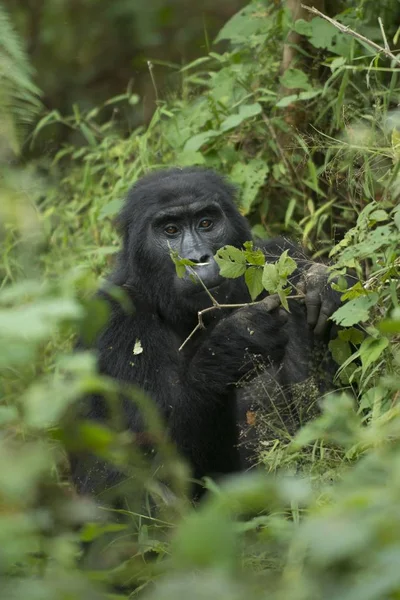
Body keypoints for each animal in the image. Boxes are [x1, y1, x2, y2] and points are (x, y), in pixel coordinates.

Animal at [71, 166, 340, 500]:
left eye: (206, 223)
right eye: (170, 230)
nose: (198, 258)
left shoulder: (279, 258)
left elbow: (324, 437)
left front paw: (322, 283)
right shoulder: (113, 319)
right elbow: (149, 465)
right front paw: (234, 346)